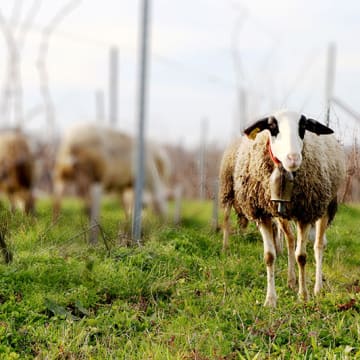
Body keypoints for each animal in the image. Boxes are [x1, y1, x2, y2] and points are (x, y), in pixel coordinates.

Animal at [219, 109, 346, 306]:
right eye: (272, 126)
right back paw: (291, 280)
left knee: (318, 245)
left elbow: (302, 256)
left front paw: (303, 295)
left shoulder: (305, 214)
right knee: (290, 240)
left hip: (326, 205)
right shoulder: (262, 213)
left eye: (304, 126)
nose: (293, 158)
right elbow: (270, 256)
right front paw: (270, 300)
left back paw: (317, 288)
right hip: (280, 214)